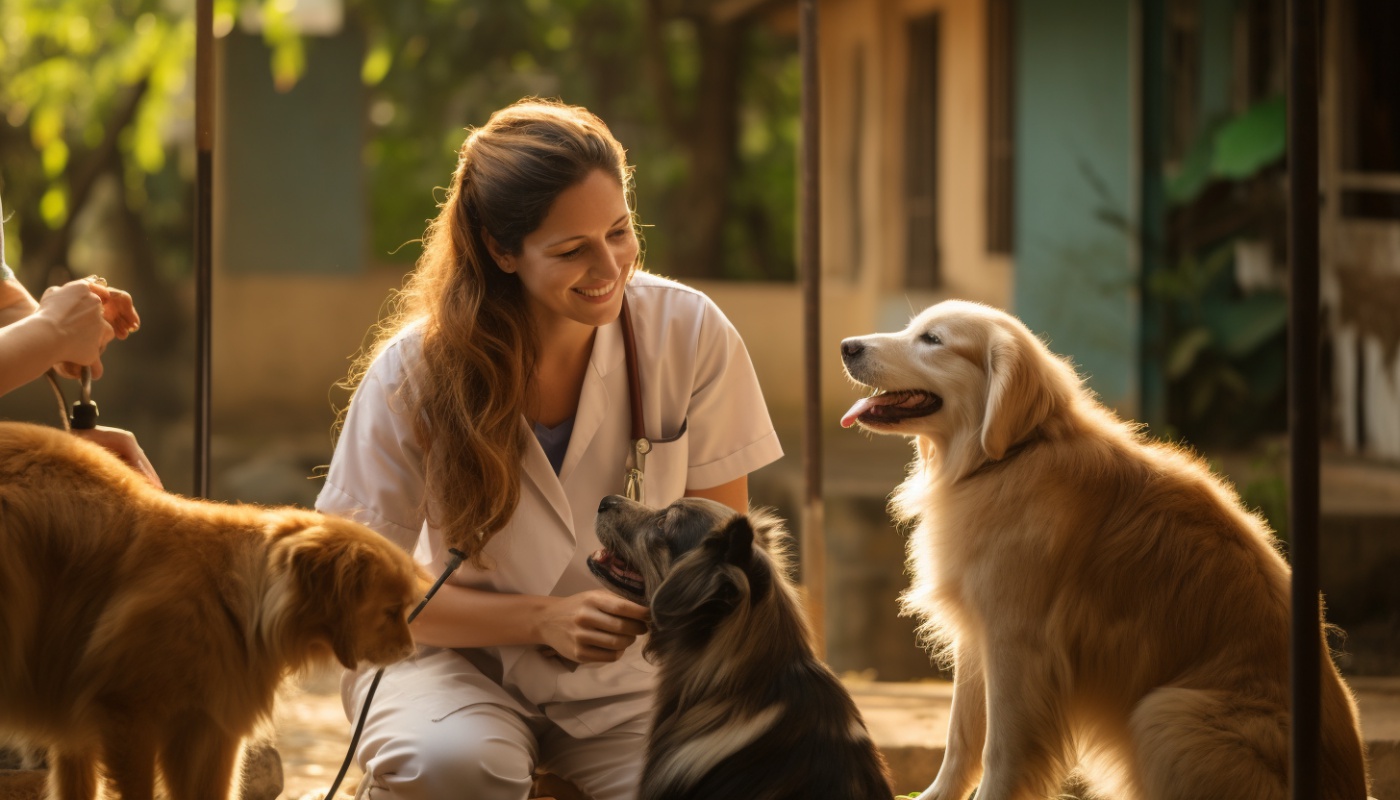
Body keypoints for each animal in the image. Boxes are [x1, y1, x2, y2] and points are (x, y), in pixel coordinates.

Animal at [0, 423, 420, 800]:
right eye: (390, 611)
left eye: (403, 610)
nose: (410, 650)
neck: (232, 603)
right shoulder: (127, 713)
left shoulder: (210, 724)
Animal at [840, 299, 1366, 800]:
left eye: (932, 340)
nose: (846, 346)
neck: (1010, 456)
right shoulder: (978, 634)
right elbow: (960, 741)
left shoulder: (1018, 644)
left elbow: (1001, 753)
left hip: (1166, 714)